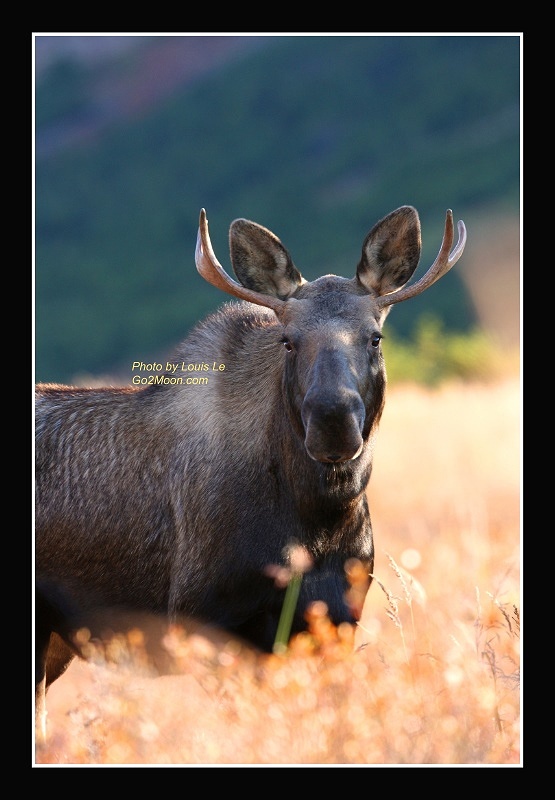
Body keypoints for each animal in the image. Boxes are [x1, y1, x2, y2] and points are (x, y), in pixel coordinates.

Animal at [35, 205, 466, 739]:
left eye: (375, 337)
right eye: (288, 341)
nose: (333, 423)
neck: (316, 523)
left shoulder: (336, 620)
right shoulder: (206, 622)